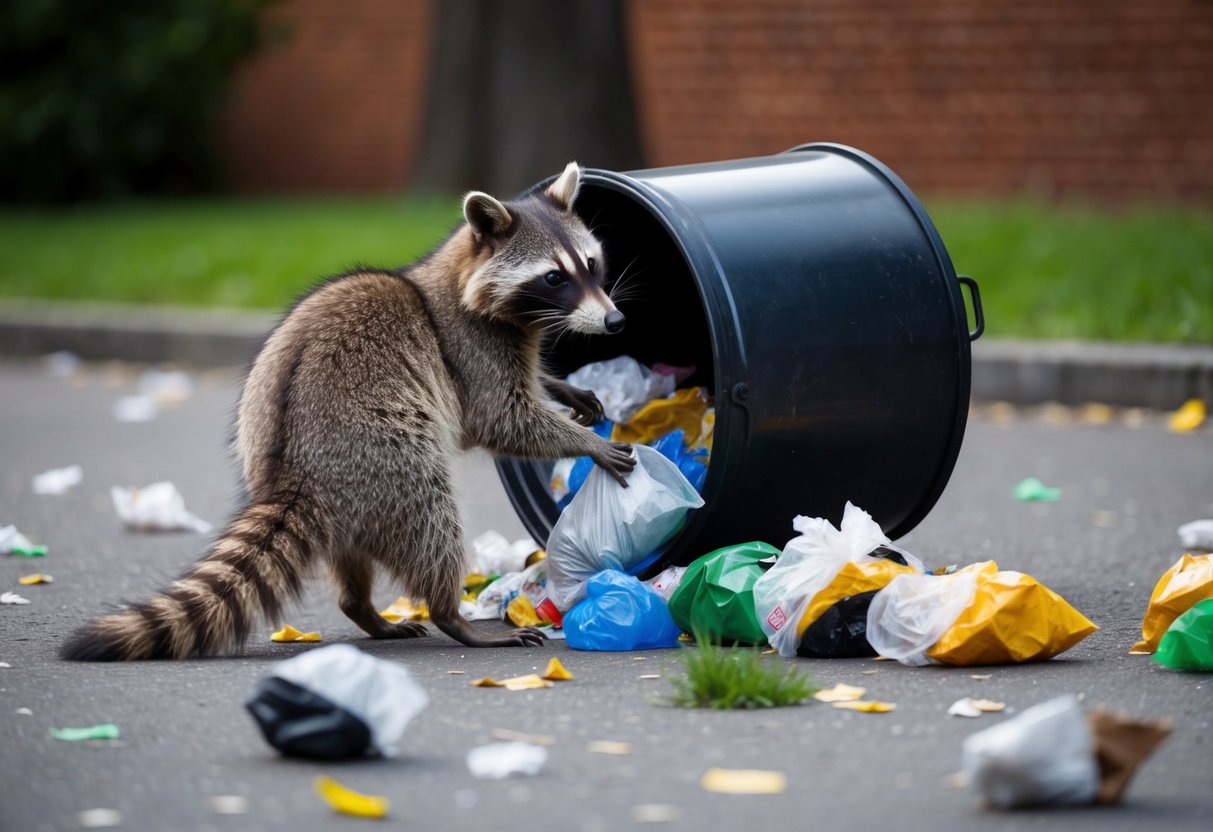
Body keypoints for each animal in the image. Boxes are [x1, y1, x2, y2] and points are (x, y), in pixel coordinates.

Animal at [61, 162, 635, 661]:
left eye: (590, 265)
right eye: (554, 278)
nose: (614, 321)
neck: (458, 276)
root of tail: (292, 474)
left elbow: (527, 392)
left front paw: (558, 387)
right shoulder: (471, 350)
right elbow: (501, 418)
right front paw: (589, 442)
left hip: (343, 490)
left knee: (353, 560)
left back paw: (363, 608)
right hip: (384, 457)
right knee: (432, 519)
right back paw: (452, 614)